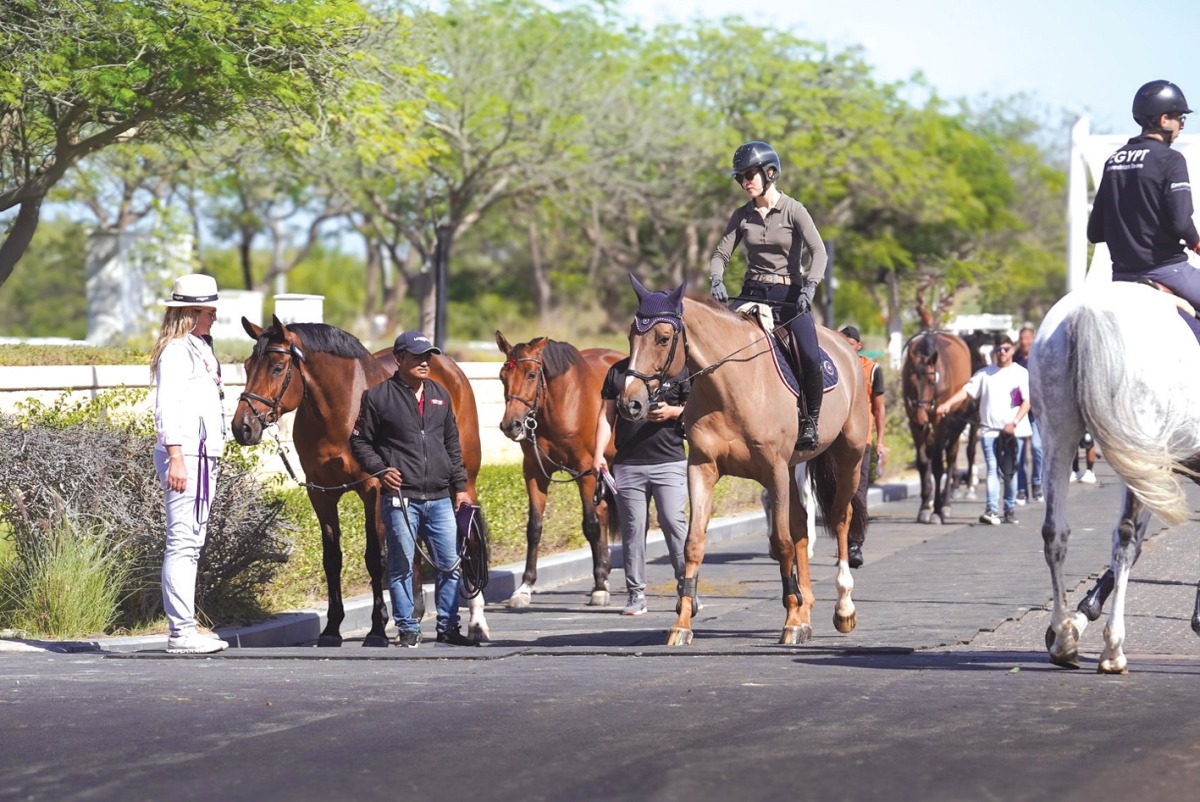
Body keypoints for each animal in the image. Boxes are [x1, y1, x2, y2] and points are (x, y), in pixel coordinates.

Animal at [234, 316, 487, 648]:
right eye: (248, 365)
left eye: (277, 367)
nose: (242, 427)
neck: (340, 409)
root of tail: (448, 365)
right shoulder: (321, 494)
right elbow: (332, 559)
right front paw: (331, 629)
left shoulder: (375, 490)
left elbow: (375, 558)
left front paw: (376, 629)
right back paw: (415, 615)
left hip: (464, 480)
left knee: (468, 536)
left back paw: (475, 623)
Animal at [496, 328, 628, 605]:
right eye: (503, 376)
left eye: (531, 374)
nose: (510, 425)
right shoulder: (534, 472)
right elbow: (534, 528)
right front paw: (525, 586)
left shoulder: (585, 470)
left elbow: (590, 525)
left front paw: (599, 588)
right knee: (603, 511)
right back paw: (605, 572)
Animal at [619, 280, 873, 643]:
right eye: (631, 336)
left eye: (664, 338)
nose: (631, 404)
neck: (730, 385)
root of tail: (846, 347)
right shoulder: (702, 468)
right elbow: (693, 544)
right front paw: (682, 625)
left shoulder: (774, 470)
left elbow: (781, 543)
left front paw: (791, 620)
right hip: (794, 468)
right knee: (801, 525)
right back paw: (806, 611)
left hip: (848, 454)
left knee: (840, 517)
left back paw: (843, 608)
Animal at [902, 331, 979, 525]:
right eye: (911, 382)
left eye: (931, 381)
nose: (921, 418)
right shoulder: (913, 421)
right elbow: (923, 462)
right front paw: (924, 507)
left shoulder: (941, 421)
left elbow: (938, 466)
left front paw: (937, 510)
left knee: (951, 456)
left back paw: (945, 504)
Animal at [1036, 284, 1200, 672]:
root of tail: (1089, 308)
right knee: (1124, 540)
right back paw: (1112, 649)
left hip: (1058, 436)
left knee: (1055, 532)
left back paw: (1063, 638)